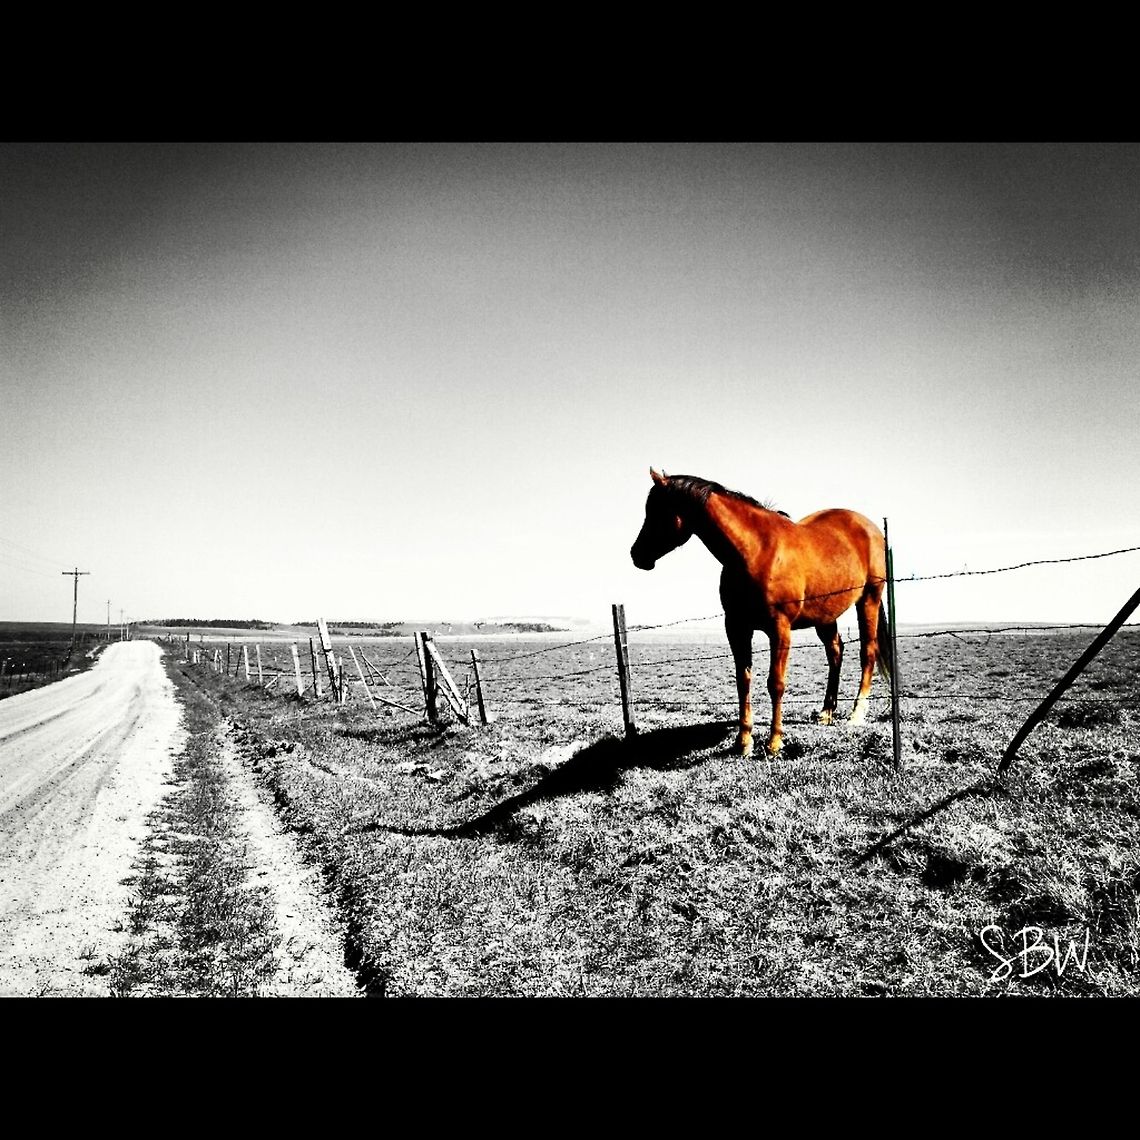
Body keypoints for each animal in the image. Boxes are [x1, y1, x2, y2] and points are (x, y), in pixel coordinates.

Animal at [630, 468, 892, 757]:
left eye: (658, 511)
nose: (637, 555)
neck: (755, 551)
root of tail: (871, 528)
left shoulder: (780, 629)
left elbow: (775, 683)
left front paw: (774, 742)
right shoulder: (736, 627)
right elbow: (743, 681)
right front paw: (743, 742)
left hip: (869, 599)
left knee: (867, 652)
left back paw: (857, 714)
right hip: (826, 616)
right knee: (835, 652)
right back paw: (826, 712)